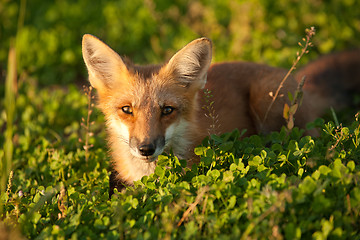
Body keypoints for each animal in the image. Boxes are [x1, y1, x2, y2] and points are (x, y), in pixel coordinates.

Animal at [81, 34, 360, 194]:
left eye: (167, 110)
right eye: (127, 110)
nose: (146, 149)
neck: (148, 175)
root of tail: (295, 77)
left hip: (268, 103)